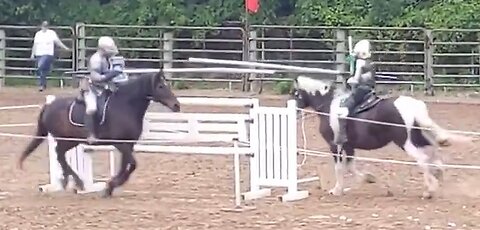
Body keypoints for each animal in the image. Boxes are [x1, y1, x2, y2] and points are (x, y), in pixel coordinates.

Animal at [18, 70, 180, 198]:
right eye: (160, 86)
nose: (176, 105)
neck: (125, 106)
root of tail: (48, 106)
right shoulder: (120, 144)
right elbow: (132, 164)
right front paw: (111, 185)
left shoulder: (128, 144)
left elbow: (126, 166)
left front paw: (110, 187)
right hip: (66, 139)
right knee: (59, 155)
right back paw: (78, 182)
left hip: (71, 141)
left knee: (60, 155)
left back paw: (67, 180)